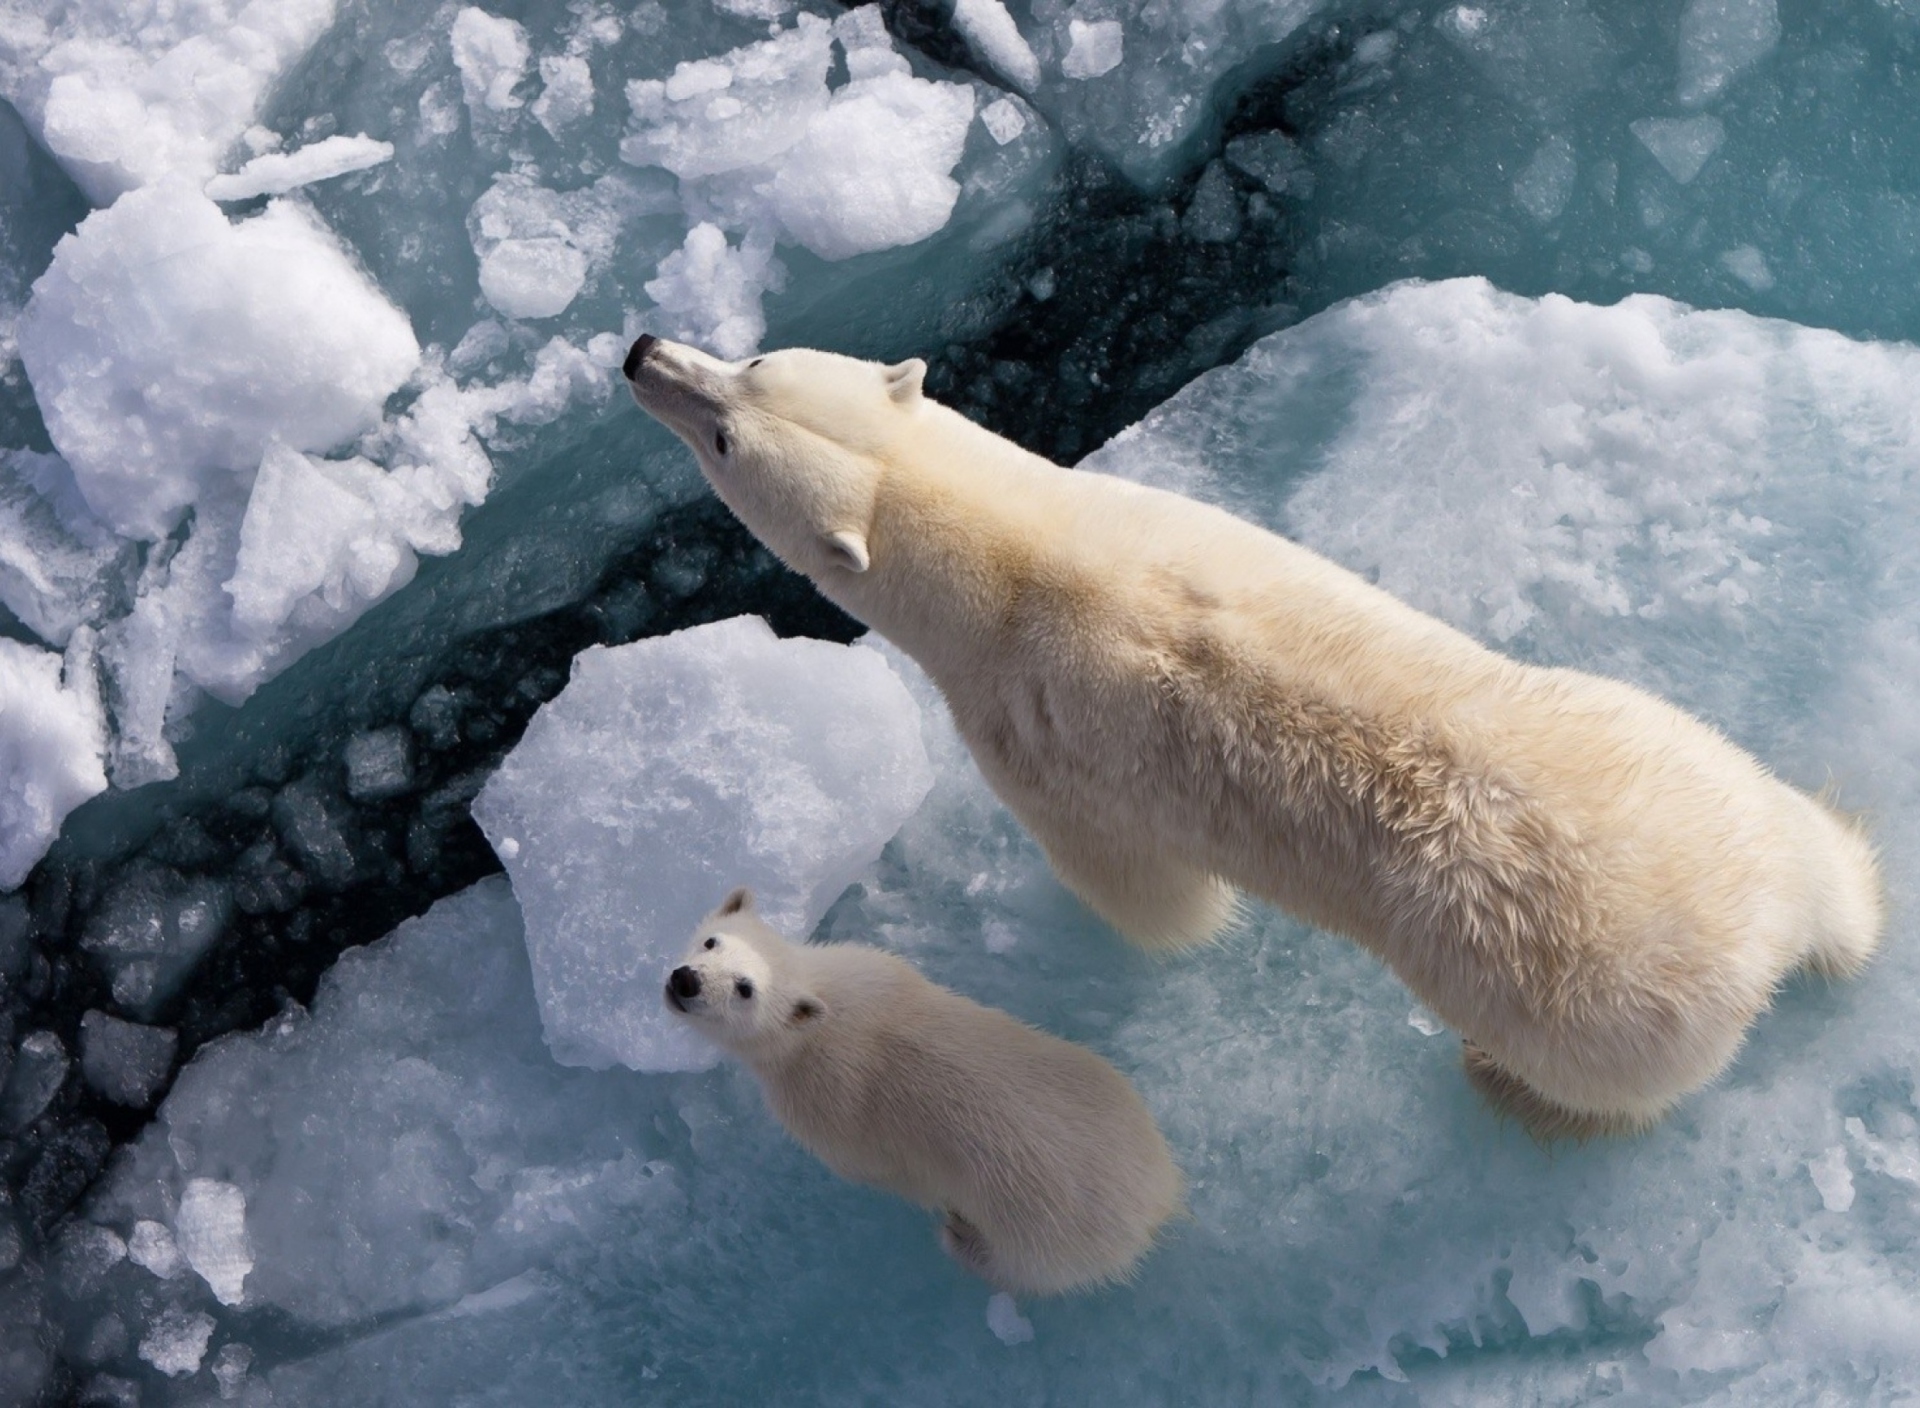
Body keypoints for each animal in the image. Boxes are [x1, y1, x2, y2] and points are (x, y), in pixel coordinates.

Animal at [622, 332, 1881, 1144]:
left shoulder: (1032, 736)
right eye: (754, 367)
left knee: (1603, 1080)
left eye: (727, 426)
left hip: (1585, 1004)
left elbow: (1141, 891)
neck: (1020, 560)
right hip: (1675, 750)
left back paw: (1507, 1087)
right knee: (1807, 838)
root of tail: (1758, 929)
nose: (640, 352)